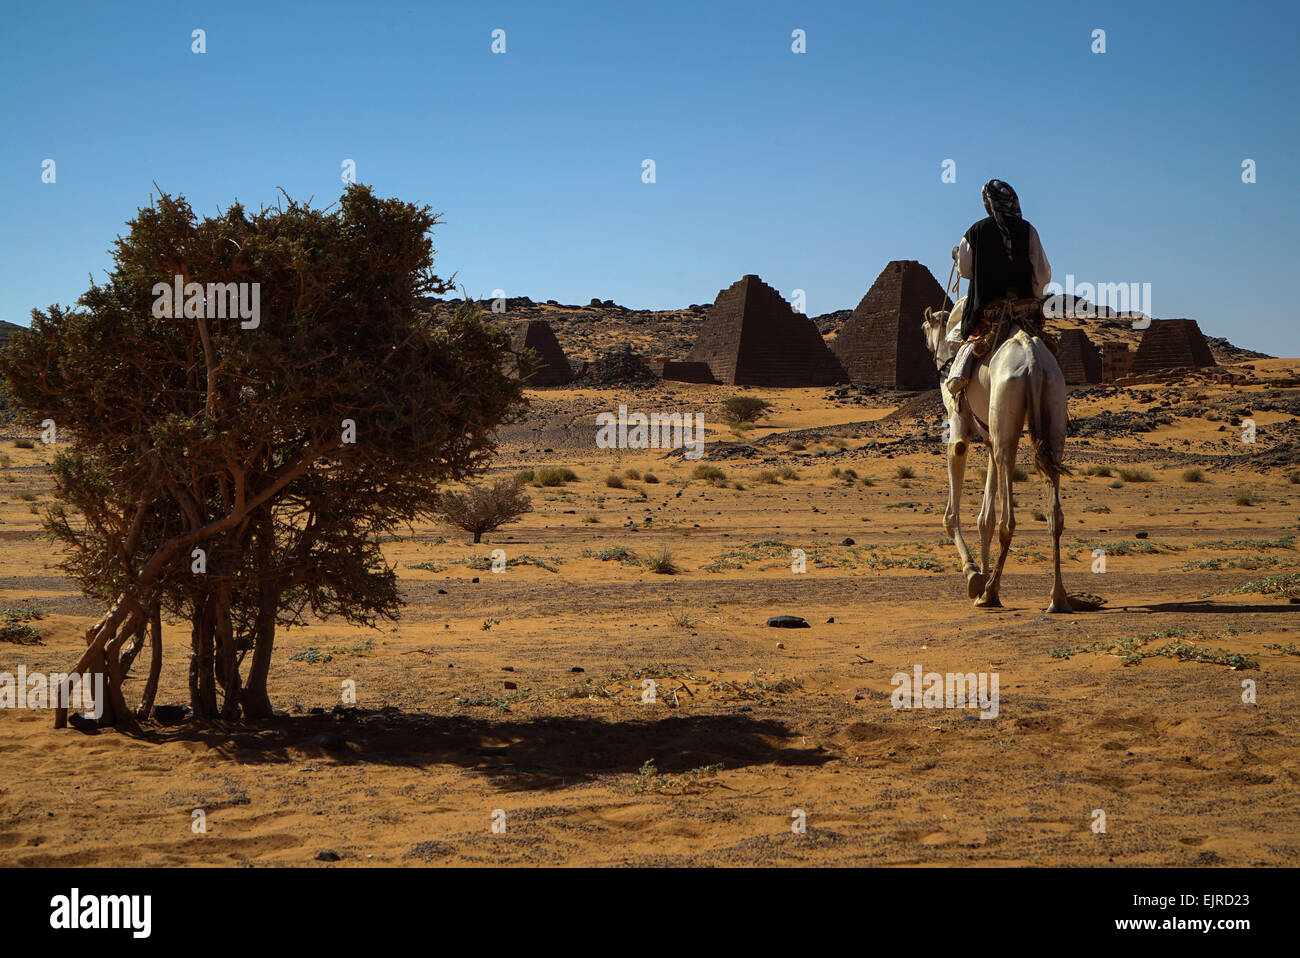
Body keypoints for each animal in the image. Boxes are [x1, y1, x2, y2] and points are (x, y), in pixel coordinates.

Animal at [920, 298, 1071, 613]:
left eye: (923, 327)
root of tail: (1033, 361)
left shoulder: (959, 425)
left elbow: (951, 514)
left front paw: (974, 575)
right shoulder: (989, 435)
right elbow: (984, 519)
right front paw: (983, 573)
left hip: (1007, 408)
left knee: (1008, 520)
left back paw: (991, 593)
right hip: (1052, 408)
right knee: (1054, 514)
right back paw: (1057, 597)